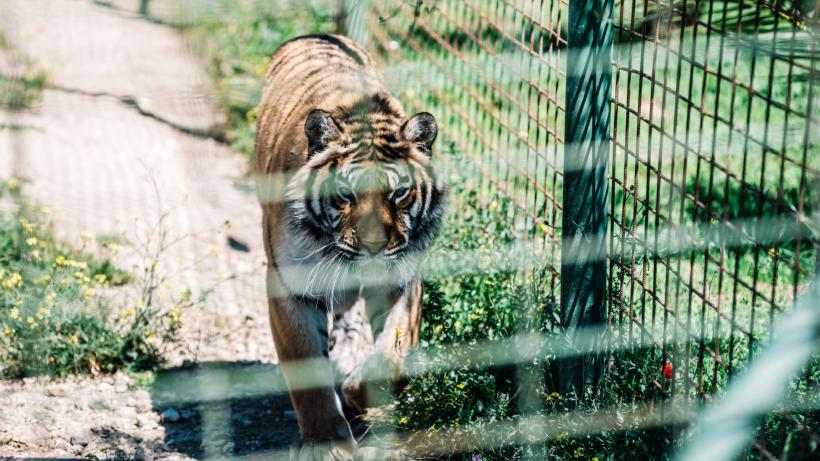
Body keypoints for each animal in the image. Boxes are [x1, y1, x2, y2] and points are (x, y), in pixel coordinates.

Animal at [255, 34, 448, 458]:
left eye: (399, 193)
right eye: (345, 195)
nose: (374, 246)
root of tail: (315, 35)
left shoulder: (403, 280)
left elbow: (391, 358)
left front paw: (360, 391)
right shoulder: (288, 286)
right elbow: (307, 370)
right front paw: (325, 441)